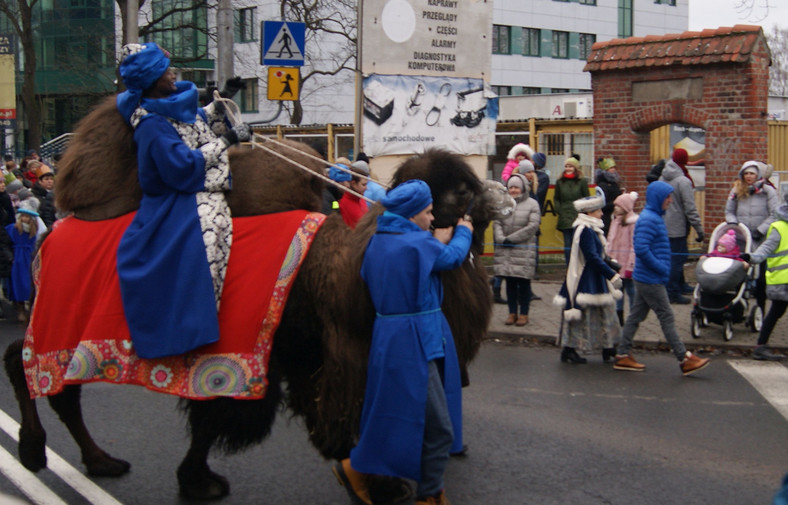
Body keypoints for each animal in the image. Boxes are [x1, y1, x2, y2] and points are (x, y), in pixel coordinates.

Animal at [3, 95, 516, 500]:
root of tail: (55, 229)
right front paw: (381, 484)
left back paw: (97, 460)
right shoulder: (306, 354)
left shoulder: (296, 356)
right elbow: (240, 416)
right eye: (463, 190)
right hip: (59, 319)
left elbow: (220, 420)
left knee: (52, 383)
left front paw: (199, 480)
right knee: (28, 365)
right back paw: (38, 450)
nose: (507, 199)